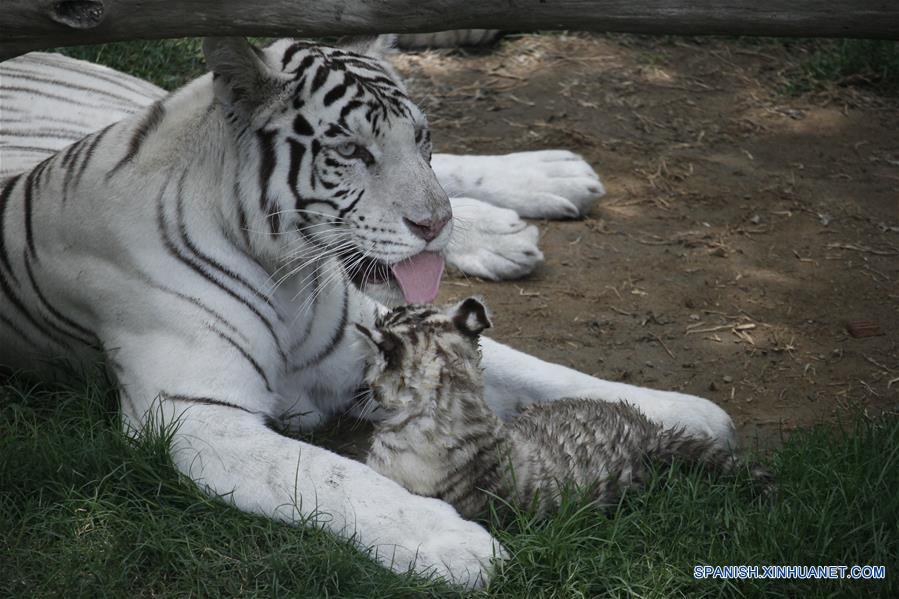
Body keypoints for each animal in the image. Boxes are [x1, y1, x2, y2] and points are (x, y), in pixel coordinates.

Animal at [0, 38, 736, 592]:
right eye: (350, 150)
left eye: (421, 137)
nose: (431, 222)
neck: (286, 272)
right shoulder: (195, 415)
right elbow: (326, 474)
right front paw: (453, 544)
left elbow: (545, 372)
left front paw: (683, 413)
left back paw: (546, 181)